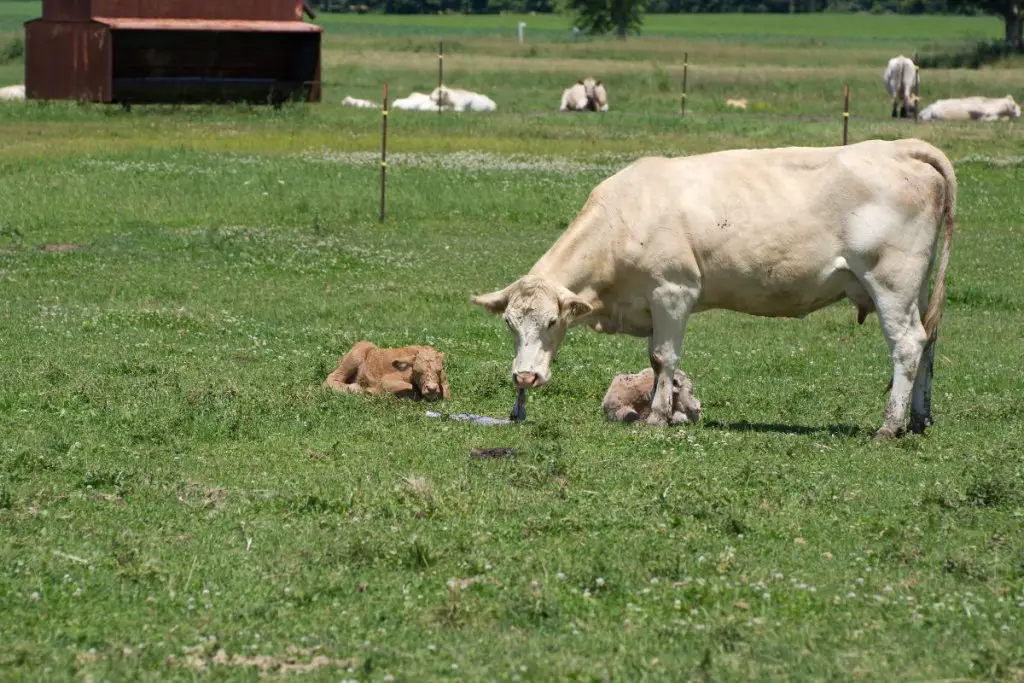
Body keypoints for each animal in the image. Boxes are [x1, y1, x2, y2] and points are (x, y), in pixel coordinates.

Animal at [475, 138, 954, 438]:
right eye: (510, 325)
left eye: (553, 322)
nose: (525, 376)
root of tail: (898, 148)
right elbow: (656, 364)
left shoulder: (673, 292)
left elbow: (662, 357)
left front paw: (657, 417)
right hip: (915, 288)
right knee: (929, 340)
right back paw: (918, 419)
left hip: (890, 282)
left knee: (907, 344)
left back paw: (889, 425)